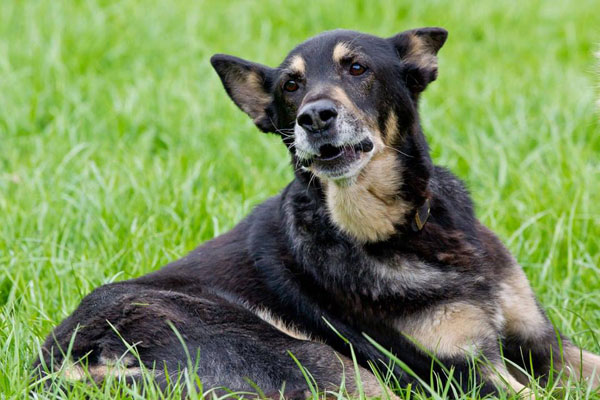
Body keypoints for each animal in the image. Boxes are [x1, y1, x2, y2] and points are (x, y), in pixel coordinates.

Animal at [34, 27, 600, 396]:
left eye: (357, 68)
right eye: (291, 86)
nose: (315, 116)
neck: (398, 229)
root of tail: (70, 366)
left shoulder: (544, 343)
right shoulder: (464, 374)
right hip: (319, 362)